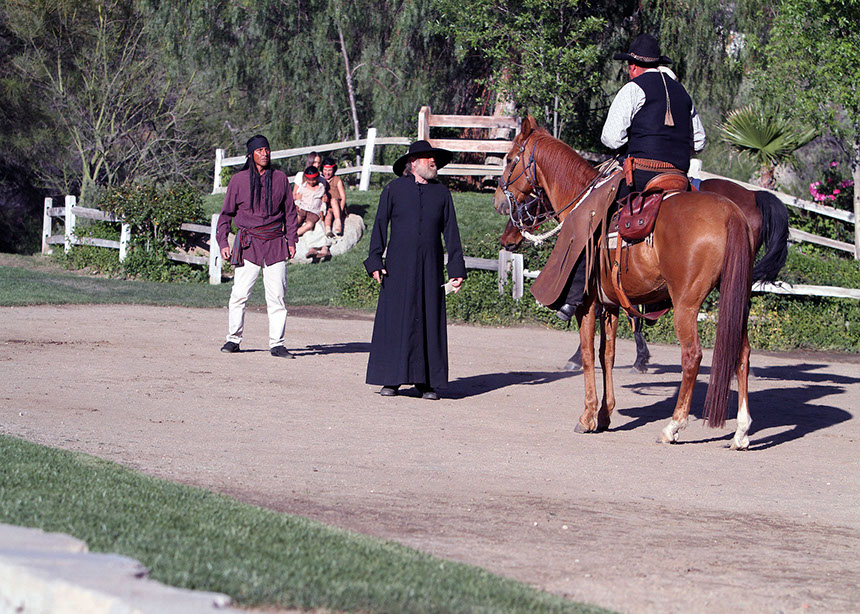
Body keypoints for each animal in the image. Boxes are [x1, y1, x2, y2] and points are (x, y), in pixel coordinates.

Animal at [494, 118, 764, 450]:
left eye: (509, 159)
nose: (499, 202)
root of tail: (730, 213)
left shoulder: (587, 304)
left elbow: (588, 354)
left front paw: (587, 417)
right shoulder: (610, 306)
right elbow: (606, 355)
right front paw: (605, 414)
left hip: (686, 305)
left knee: (692, 356)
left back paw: (673, 426)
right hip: (735, 301)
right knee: (742, 354)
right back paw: (741, 431)